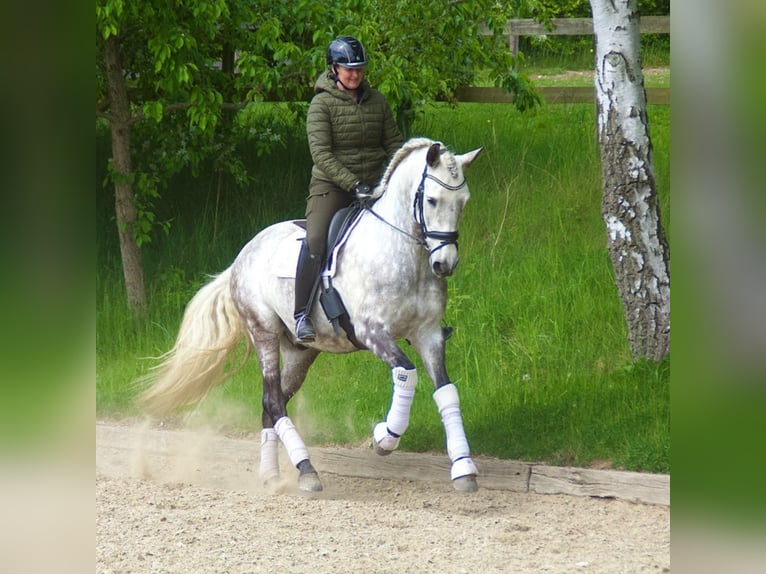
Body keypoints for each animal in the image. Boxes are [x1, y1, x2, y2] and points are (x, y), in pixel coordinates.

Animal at [138, 138, 483, 493]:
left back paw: (271, 475)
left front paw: (463, 468)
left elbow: (447, 392)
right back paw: (306, 470)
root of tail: (242, 255)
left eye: (463, 201)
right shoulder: (372, 331)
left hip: (300, 353)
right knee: (274, 401)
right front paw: (384, 437)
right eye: (432, 200)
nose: (445, 264)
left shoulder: (428, 334)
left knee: (270, 403)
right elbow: (407, 374)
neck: (406, 256)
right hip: (263, 333)